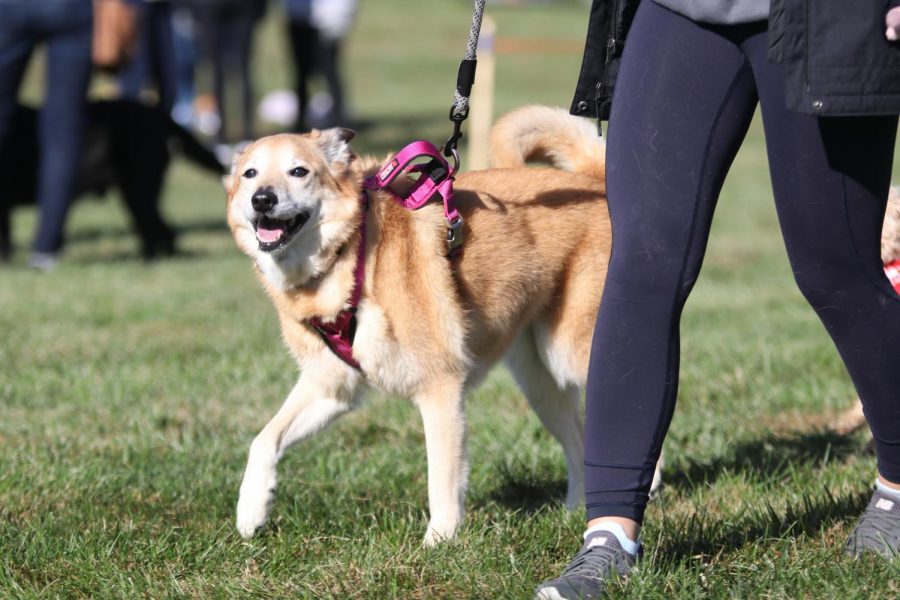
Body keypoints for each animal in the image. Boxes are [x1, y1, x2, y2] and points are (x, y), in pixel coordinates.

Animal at [225, 106, 660, 544]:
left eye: (299, 171)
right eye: (250, 174)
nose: (262, 199)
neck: (352, 255)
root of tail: (591, 181)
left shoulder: (441, 386)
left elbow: (443, 477)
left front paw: (440, 542)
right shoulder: (331, 387)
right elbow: (264, 440)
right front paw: (251, 511)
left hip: (572, 350)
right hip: (541, 380)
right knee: (578, 440)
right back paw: (572, 513)